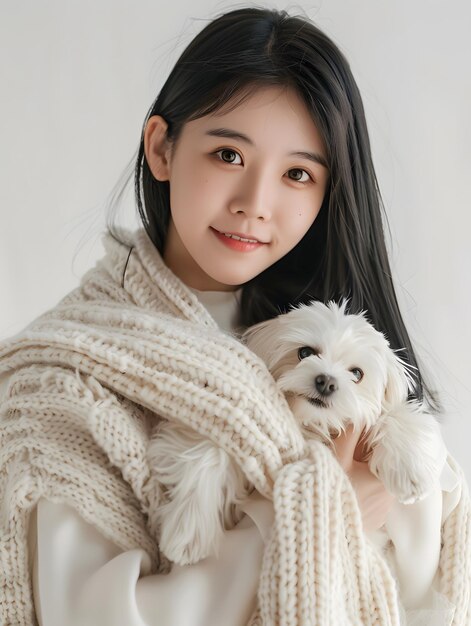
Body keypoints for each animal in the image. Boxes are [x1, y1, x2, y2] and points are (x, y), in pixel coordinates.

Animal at [148, 302, 446, 604]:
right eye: (305, 353)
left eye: (357, 374)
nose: (326, 381)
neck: (311, 424)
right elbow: (210, 450)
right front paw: (188, 531)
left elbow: (394, 415)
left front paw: (411, 474)